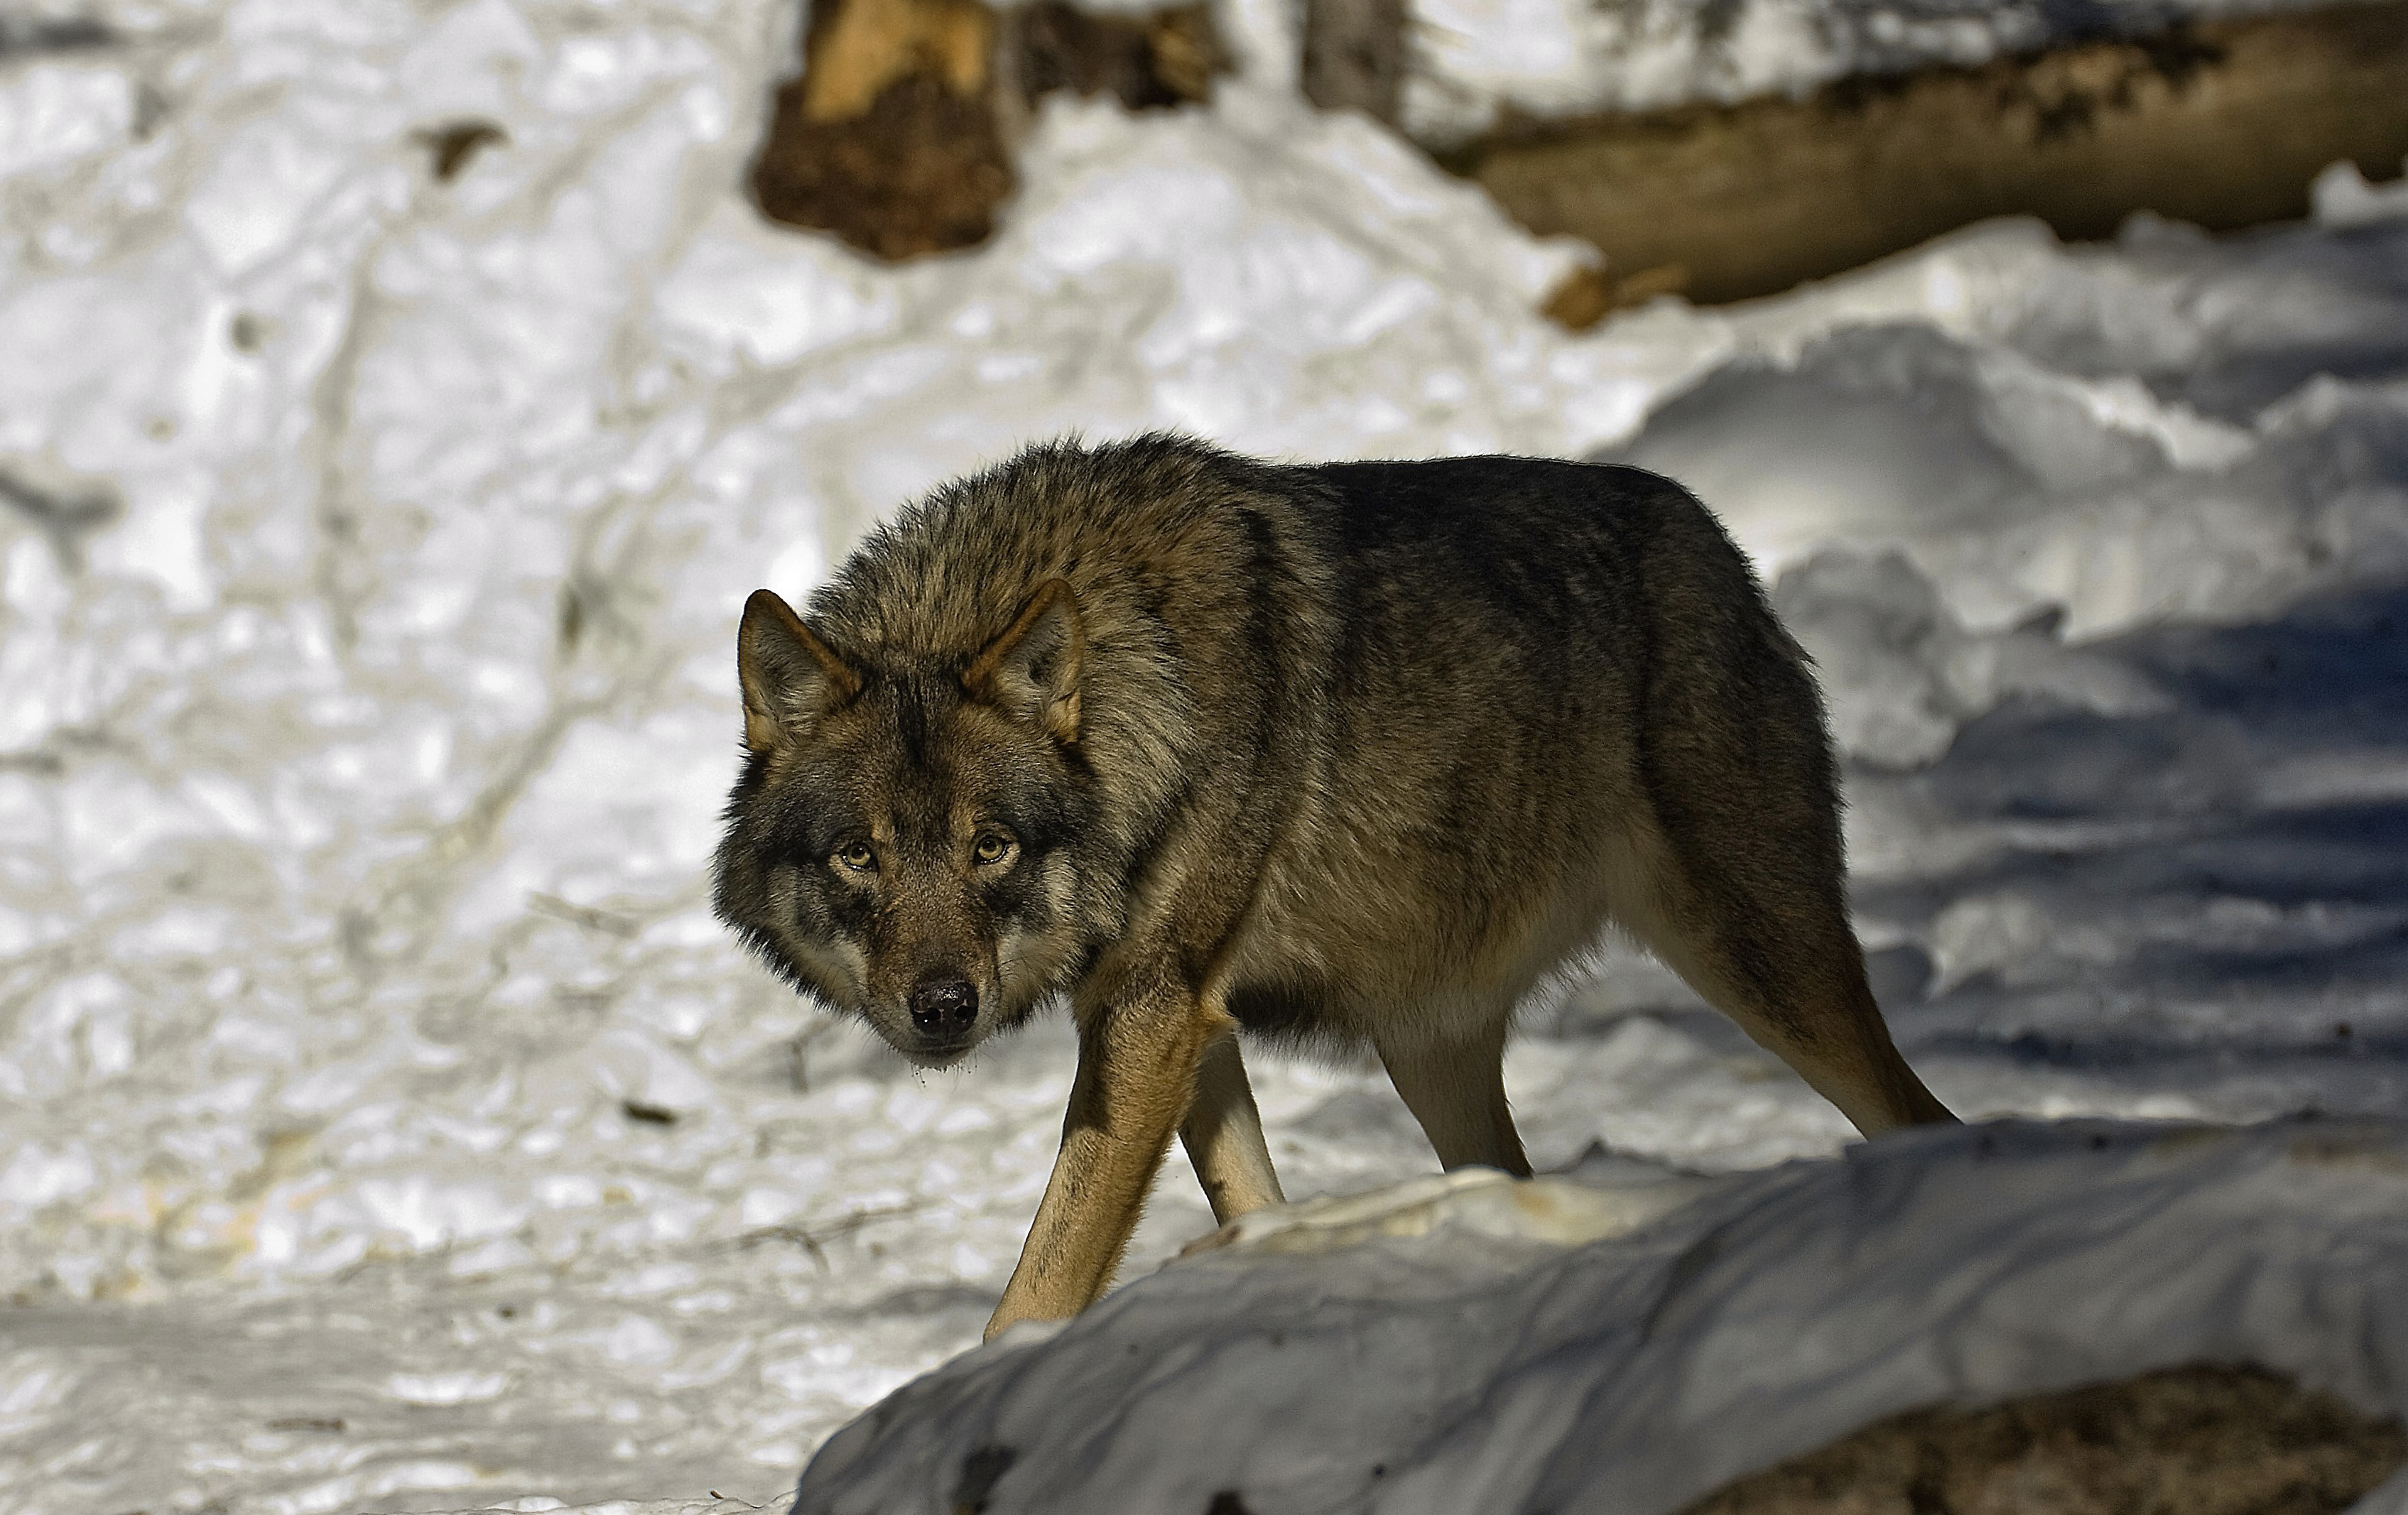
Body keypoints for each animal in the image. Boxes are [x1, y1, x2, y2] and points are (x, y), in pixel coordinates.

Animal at [712, 428, 1955, 1339]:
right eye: (860, 855)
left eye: (989, 847)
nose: (942, 1007)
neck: (1137, 681)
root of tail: (1706, 531)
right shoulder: (1174, 1021)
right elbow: (1250, 1202)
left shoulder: (1150, 1019)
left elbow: (1034, 1292)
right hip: (1434, 1054)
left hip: (1763, 966)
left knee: (1920, 1116)